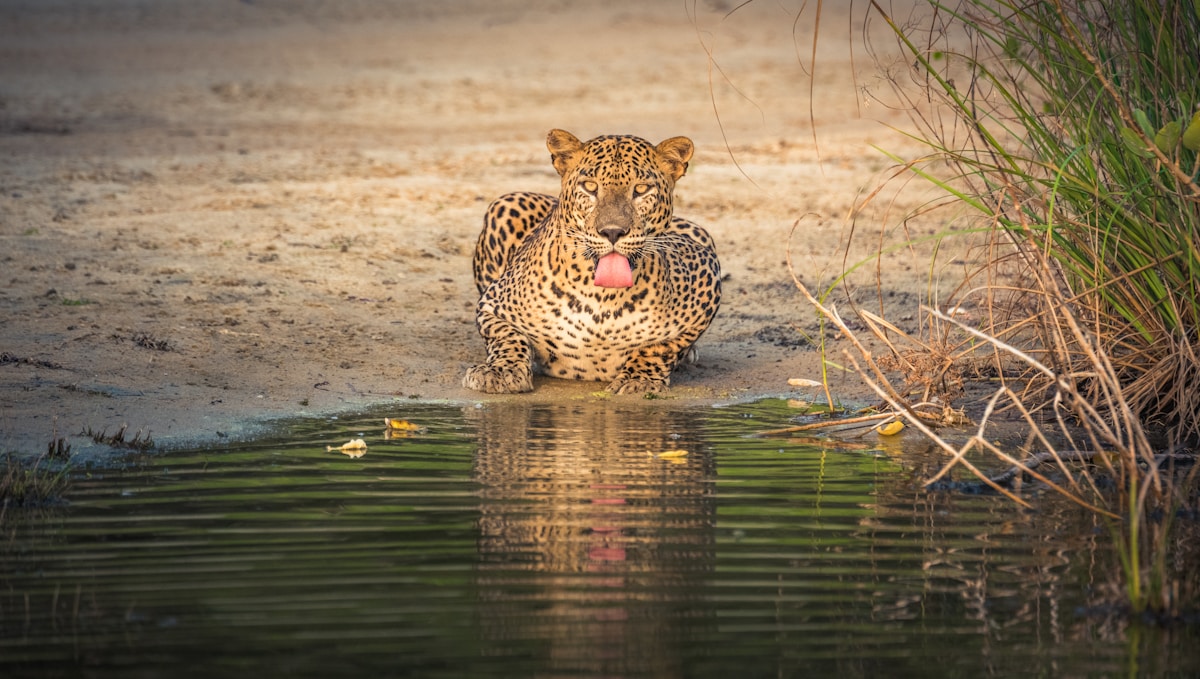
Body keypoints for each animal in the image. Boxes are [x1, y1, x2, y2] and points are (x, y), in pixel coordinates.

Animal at [462, 128, 721, 395]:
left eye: (640, 189)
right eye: (590, 186)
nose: (613, 232)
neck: (602, 298)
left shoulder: (706, 274)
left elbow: (660, 347)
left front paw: (638, 380)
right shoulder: (493, 304)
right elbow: (508, 336)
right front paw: (500, 371)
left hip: (700, 232)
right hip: (506, 203)